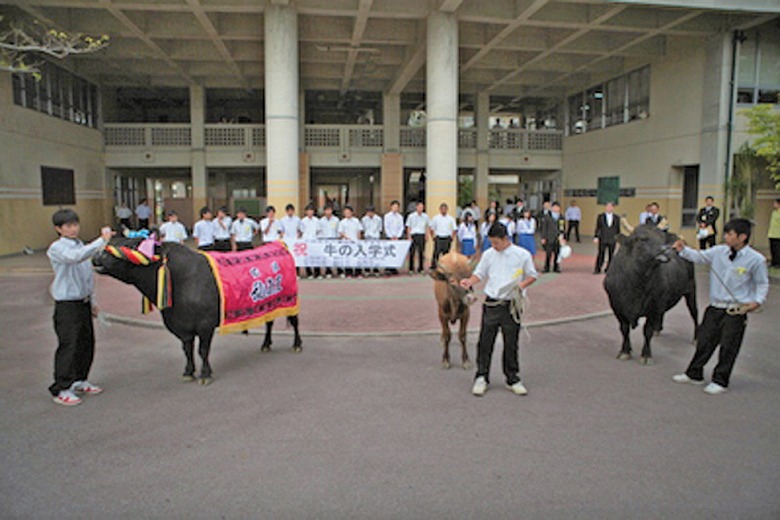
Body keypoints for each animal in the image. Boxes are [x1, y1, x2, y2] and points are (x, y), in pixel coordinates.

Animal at [90, 238, 298, 384]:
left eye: (130, 245)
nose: (97, 257)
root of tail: (279, 244)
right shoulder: (182, 327)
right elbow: (187, 350)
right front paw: (188, 372)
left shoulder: (205, 325)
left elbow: (202, 350)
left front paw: (205, 374)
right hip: (270, 303)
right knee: (269, 321)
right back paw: (266, 344)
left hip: (291, 300)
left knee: (294, 322)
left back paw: (297, 344)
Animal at [608, 224, 696, 366]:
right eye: (641, 239)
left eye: (662, 238)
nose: (666, 250)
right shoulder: (616, 307)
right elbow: (624, 329)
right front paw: (625, 351)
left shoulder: (654, 307)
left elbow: (647, 331)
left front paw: (646, 355)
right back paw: (658, 329)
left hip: (691, 290)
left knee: (695, 313)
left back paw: (696, 338)